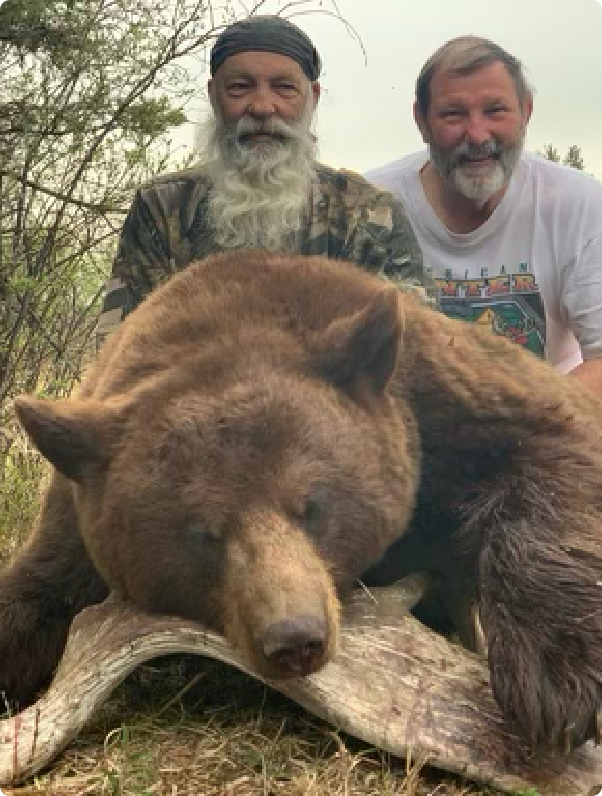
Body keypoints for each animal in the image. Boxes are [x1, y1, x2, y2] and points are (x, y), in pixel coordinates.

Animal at [1, 249, 601, 756]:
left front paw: (555, 681)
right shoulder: (76, 506)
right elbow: (37, 589)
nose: (294, 638)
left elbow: (553, 442)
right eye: (203, 534)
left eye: (311, 506)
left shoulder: (441, 393)